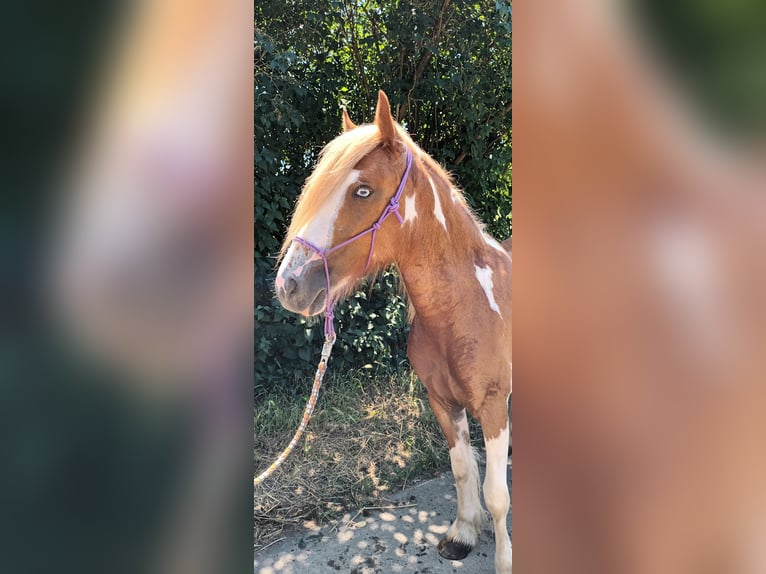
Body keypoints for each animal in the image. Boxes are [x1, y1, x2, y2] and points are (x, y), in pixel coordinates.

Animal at [276, 90, 512, 574]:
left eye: (363, 190)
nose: (289, 284)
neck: (464, 310)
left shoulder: (494, 405)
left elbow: (497, 496)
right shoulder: (442, 401)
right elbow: (463, 468)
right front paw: (462, 534)